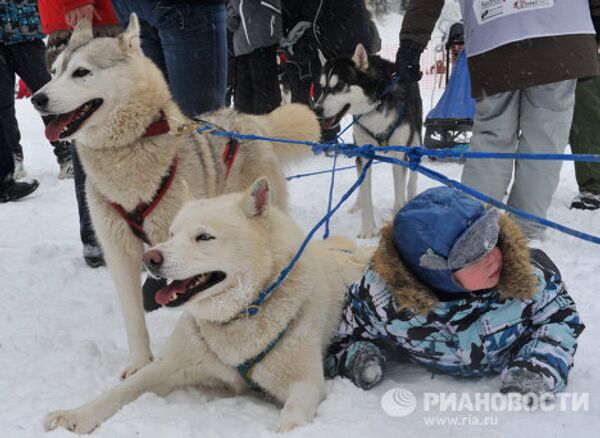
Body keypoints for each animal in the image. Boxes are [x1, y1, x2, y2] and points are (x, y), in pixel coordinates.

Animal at [31, 17, 324, 378]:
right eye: (54, 70)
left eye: (81, 72)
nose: (38, 99)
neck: (125, 155)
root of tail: (246, 119)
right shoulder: (120, 251)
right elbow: (133, 317)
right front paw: (139, 364)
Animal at [44, 179, 368, 434]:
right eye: (172, 234)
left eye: (204, 236)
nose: (150, 258)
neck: (240, 314)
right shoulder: (169, 366)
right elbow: (121, 391)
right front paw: (76, 415)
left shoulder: (306, 383)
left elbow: (292, 417)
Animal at [314, 43, 422, 240]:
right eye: (322, 86)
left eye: (339, 85)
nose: (317, 109)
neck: (375, 105)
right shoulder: (363, 154)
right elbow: (366, 194)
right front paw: (367, 228)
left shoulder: (399, 155)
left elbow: (399, 189)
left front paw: (398, 214)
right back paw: (357, 204)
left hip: (415, 142)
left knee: (412, 174)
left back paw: (409, 197)